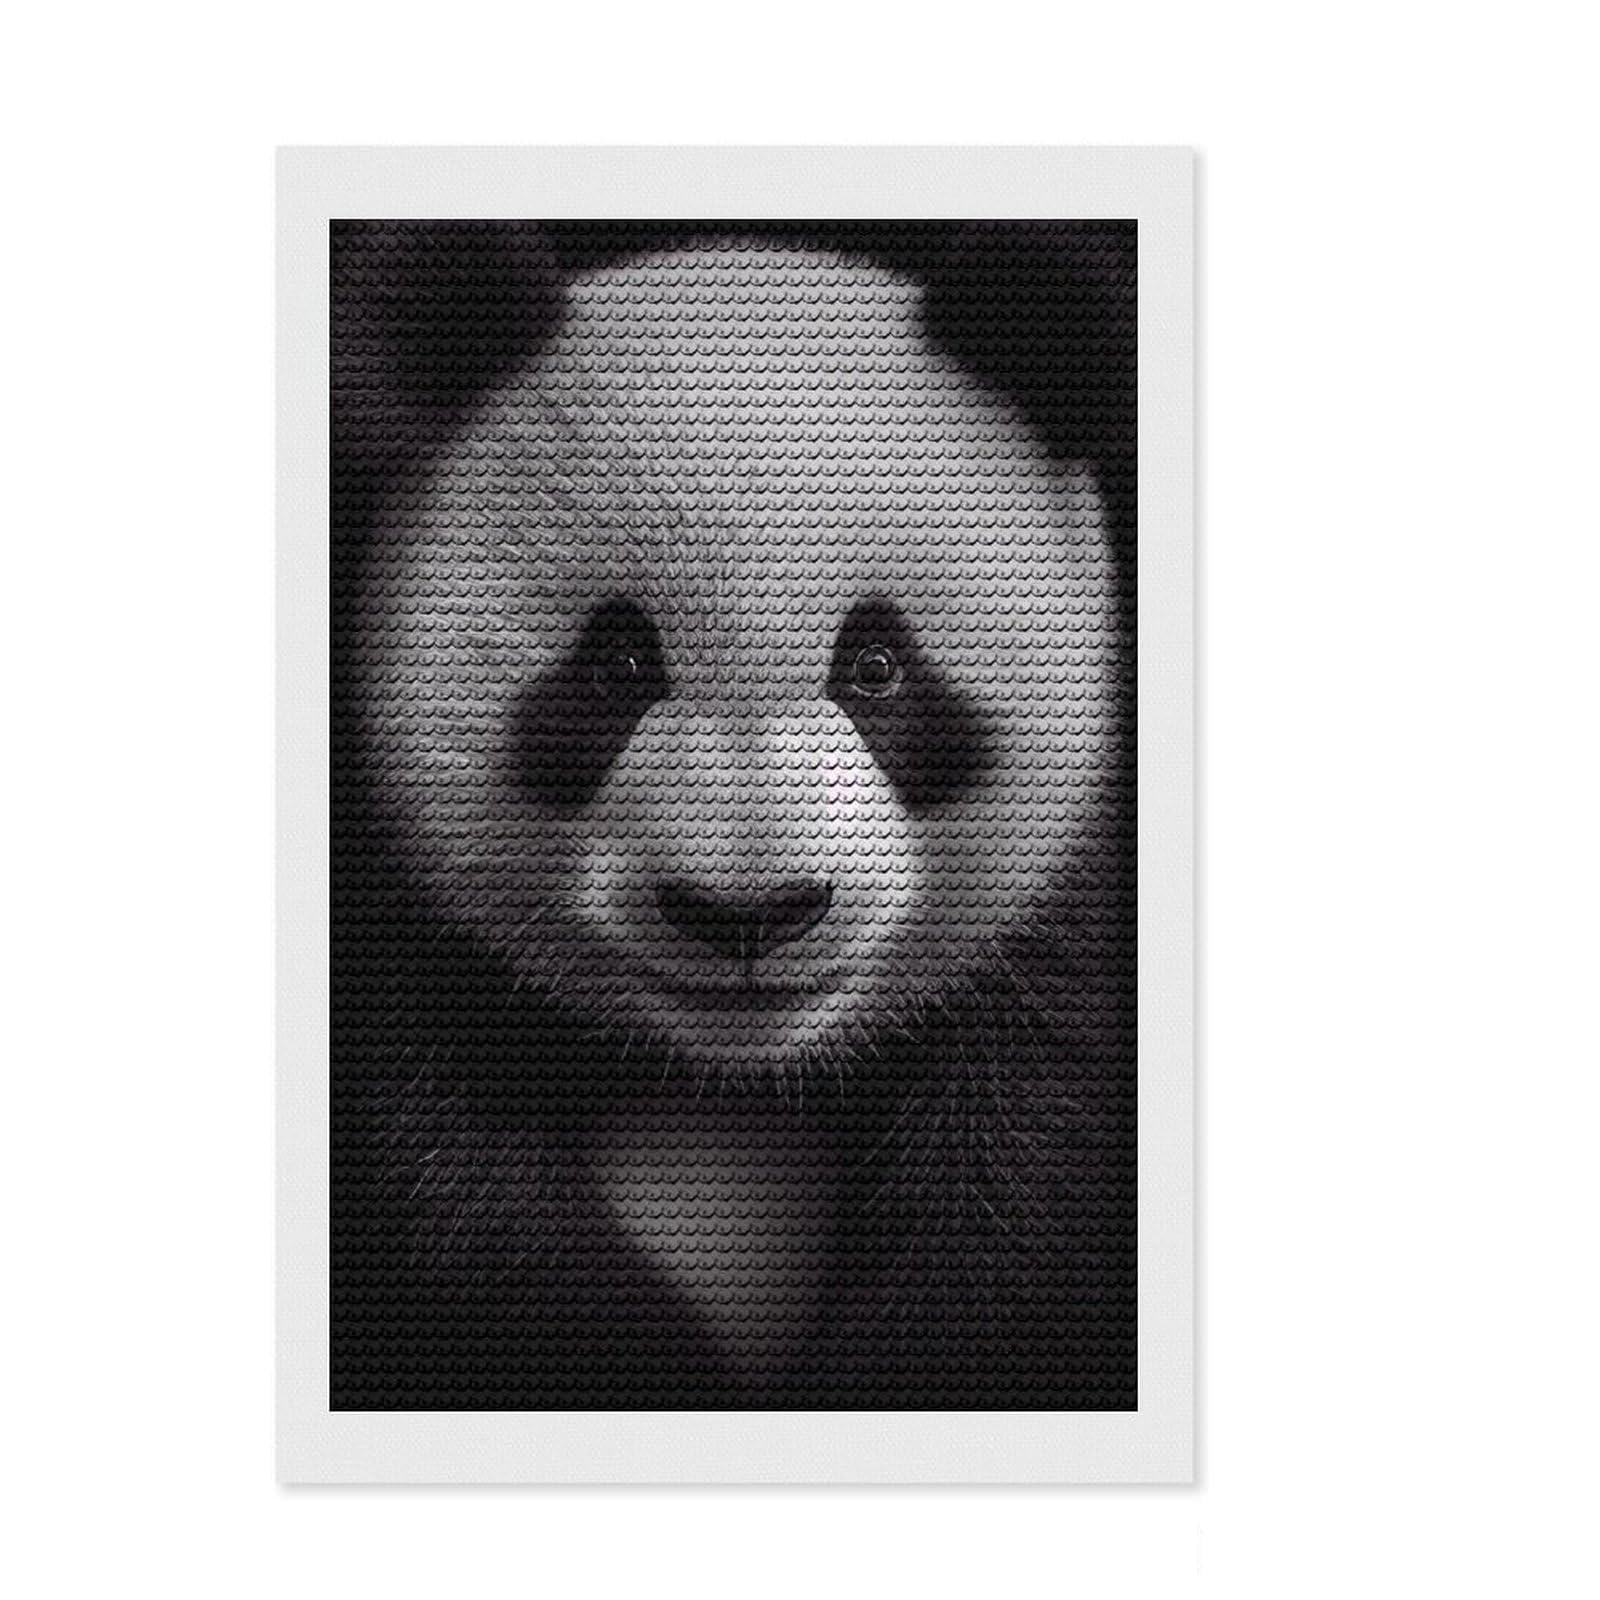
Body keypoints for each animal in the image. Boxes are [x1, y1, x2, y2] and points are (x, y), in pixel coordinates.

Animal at [335, 226, 1136, 1408]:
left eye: (877, 666)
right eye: (619, 665)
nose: (748, 913)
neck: (731, 1075)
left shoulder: (1042, 960)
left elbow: (1006, 1196)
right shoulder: (407, 943)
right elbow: (457, 1199)